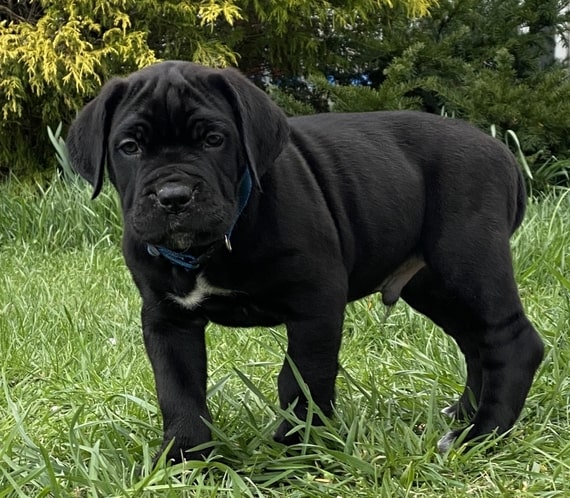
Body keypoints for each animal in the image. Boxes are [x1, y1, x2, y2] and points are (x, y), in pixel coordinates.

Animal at [66, 60, 540, 462]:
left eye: (214, 140)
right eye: (130, 147)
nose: (173, 196)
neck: (214, 244)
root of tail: (503, 154)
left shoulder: (316, 303)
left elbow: (302, 379)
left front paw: (300, 448)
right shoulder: (167, 319)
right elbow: (178, 387)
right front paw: (187, 457)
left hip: (466, 264)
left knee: (511, 342)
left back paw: (479, 436)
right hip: (434, 285)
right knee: (475, 344)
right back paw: (461, 417)